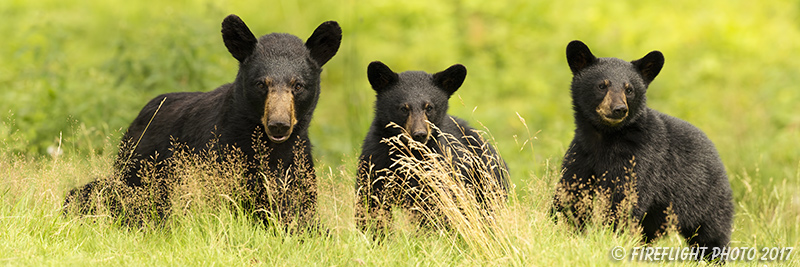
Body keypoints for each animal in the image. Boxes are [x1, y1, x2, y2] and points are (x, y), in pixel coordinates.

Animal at [67, 13, 342, 229]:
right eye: (261, 84)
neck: (267, 147)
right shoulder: (216, 156)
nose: (278, 124)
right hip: (137, 168)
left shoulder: (299, 166)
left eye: (298, 85)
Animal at [354, 61, 506, 232]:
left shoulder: (437, 169)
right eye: (403, 108)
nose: (419, 134)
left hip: (486, 178)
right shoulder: (375, 162)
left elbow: (435, 209)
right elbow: (370, 203)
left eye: (429, 107)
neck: (409, 153)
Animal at [552, 40, 736, 262]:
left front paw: (608, 238)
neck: (605, 138)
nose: (619, 109)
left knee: (712, 234)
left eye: (629, 89)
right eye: (602, 85)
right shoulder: (581, 155)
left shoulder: (640, 158)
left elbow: (624, 199)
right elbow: (570, 194)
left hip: (706, 198)